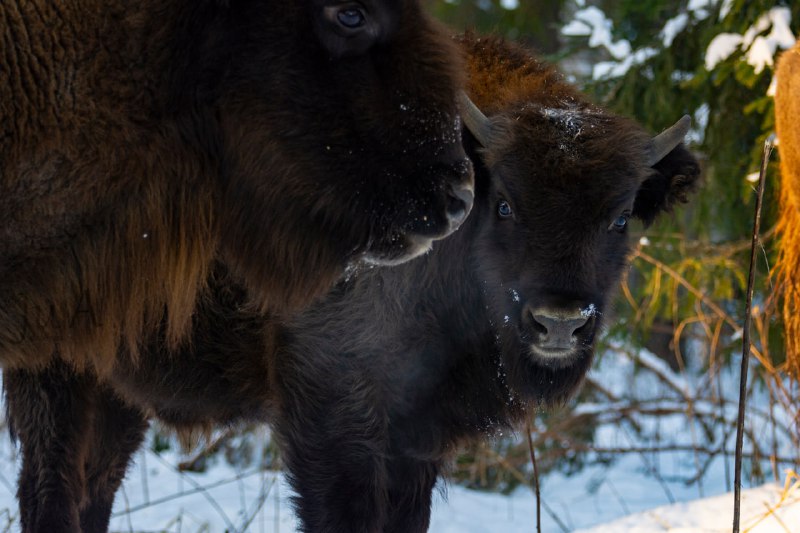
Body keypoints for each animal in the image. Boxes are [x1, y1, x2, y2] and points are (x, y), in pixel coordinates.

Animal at [1, 35, 700, 528]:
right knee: (50, 490)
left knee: (93, 490)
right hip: (53, 375)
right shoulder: (334, 415)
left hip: (115, 388)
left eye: (620, 217)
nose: (559, 322)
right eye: (505, 204)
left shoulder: (418, 439)